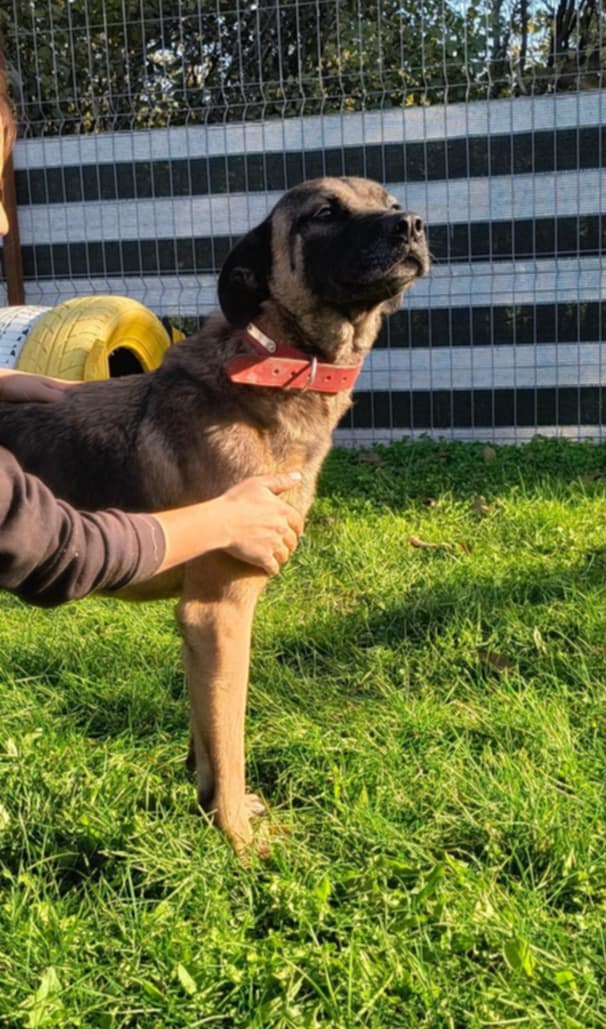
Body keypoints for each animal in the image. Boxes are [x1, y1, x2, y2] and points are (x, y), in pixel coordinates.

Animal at [0, 177, 429, 854]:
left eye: (388, 204)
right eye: (324, 213)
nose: (411, 225)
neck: (274, 373)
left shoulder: (198, 627)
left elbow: (206, 738)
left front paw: (210, 810)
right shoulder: (218, 613)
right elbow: (230, 740)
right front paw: (240, 843)